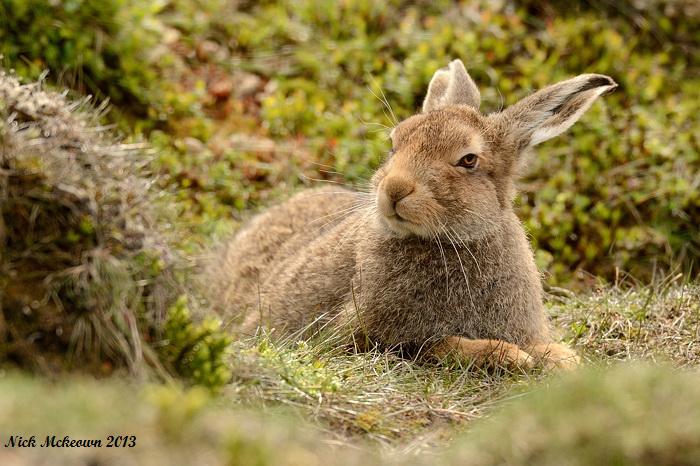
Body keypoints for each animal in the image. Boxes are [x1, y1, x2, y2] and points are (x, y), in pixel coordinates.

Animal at [212, 59, 617, 370]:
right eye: (394, 144)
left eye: (468, 160)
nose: (393, 189)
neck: (450, 243)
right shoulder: (367, 337)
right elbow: (437, 346)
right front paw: (509, 356)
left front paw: (562, 359)